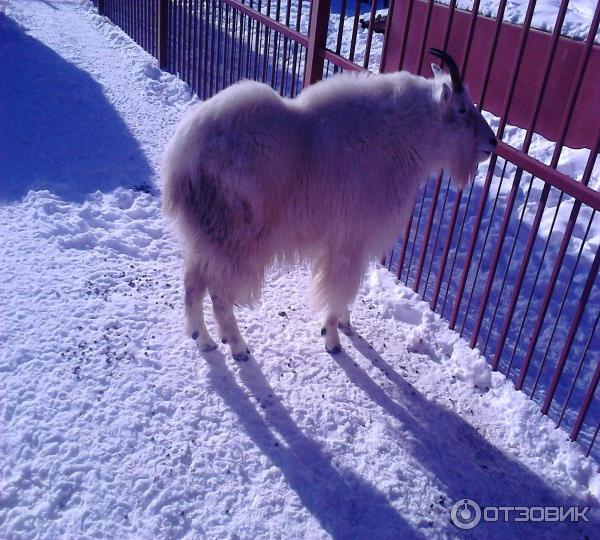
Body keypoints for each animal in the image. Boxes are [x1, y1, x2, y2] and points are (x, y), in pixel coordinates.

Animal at [162, 49, 494, 358]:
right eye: (462, 109)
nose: (492, 143)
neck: (404, 138)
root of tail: (181, 159)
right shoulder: (351, 241)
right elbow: (339, 290)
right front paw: (332, 338)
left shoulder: (343, 244)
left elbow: (345, 292)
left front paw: (345, 324)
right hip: (233, 239)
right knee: (217, 291)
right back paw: (237, 345)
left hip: (205, 237)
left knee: (192, 282)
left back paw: (203, 339)